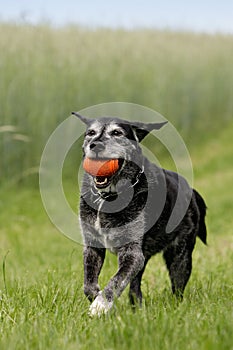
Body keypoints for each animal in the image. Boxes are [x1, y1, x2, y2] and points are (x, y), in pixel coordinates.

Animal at [73, 113, 208, 318]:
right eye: (91, 133)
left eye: (117, 133)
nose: (95, 145)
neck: (108, 197)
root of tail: (191, 191)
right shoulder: (93, 247)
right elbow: (88, 284)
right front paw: (99, 299)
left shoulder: (133, 253)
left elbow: (116, 280)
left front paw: (101, 305)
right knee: (135, 288)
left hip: (180, 256)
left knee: (177, 288)